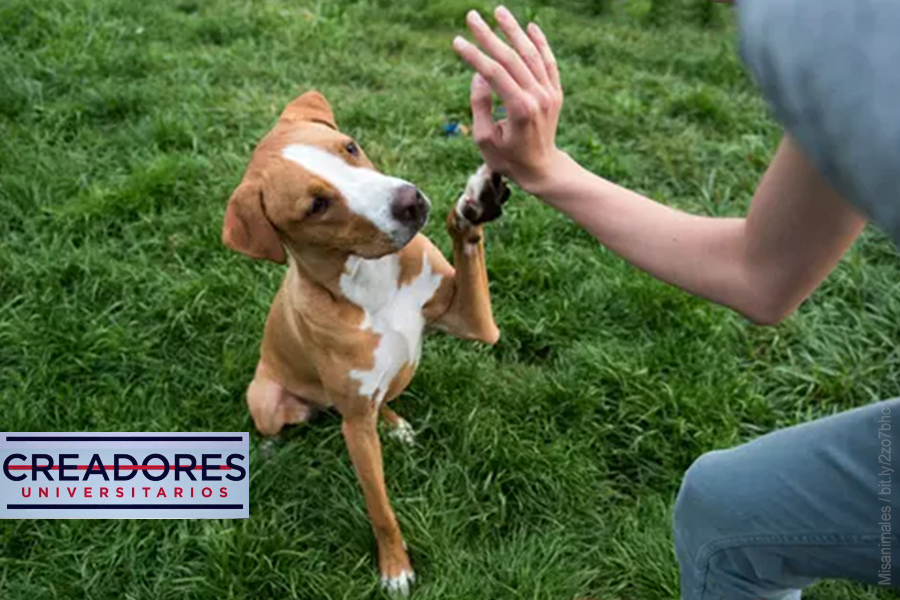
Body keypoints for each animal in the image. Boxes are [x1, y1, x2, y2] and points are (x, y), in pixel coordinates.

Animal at [222, 91, 510, 592]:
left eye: (350, 147)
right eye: (316, 204)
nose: (410, 203)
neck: (372, 277)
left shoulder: (477, 324)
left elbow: (468, 245)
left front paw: (475, 201)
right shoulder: (355, 430)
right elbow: (380, 510)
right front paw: (395, 568)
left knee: (383, 399)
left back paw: (395, 424)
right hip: (266, 398)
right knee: (284, 419)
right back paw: (272, 449)